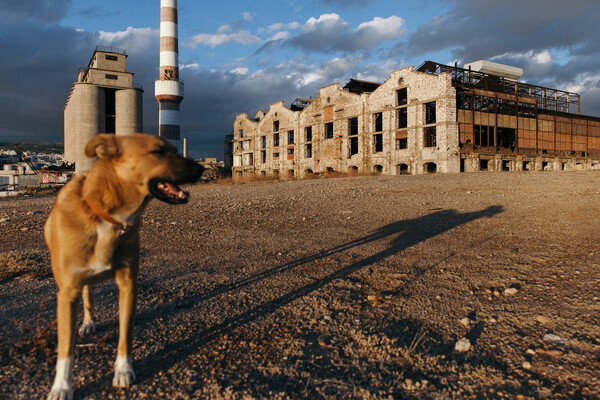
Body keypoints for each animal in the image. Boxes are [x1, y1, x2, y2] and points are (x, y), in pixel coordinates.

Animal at [44, 133, 203, 398]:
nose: (202, 168)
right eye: (158, 151)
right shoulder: (67, 293)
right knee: (87, 296)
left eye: (173, 149)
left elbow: (125, 334)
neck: (106, 217)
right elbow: (65, 349)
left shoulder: (128, 284)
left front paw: (123, 370)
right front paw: (61, 386)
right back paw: (88, 323)